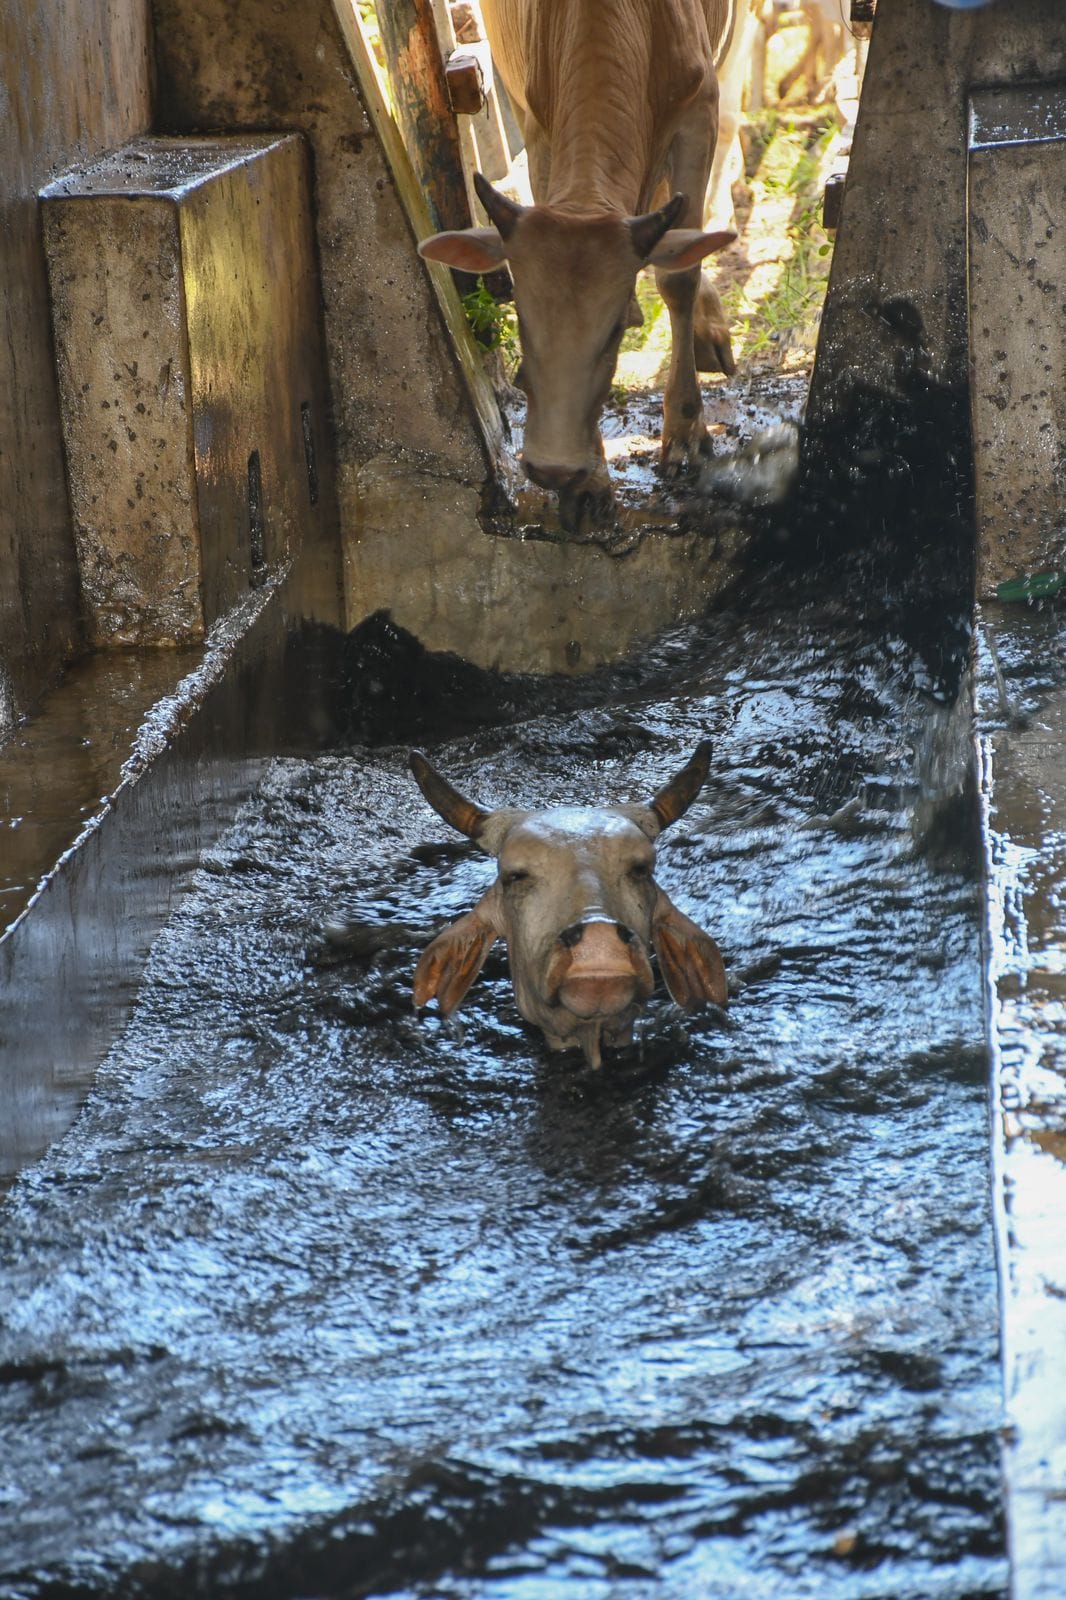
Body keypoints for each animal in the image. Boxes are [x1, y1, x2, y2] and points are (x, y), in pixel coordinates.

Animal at [412, 0, 729, 521]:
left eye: (616, 332)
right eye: (521, 317)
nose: (553, 468)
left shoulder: (700, 109)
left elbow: (679, 275)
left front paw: (684, 431)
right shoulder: (537, 124)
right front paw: (591, 483)